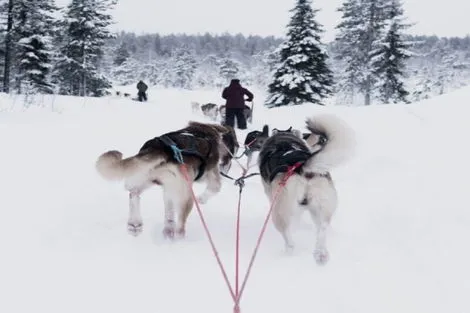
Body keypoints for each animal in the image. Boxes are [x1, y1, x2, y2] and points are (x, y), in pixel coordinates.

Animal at [96, 120, 235, 238]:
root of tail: (159, 149)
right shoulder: (210, 175)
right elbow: (215, 187)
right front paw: (202, 199)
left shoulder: (168, 189)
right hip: (186, 195)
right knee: (180, 226)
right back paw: (178, 238)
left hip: (145, 177)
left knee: (134, 194)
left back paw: (136, 224)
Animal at [258, 113, 354, 264]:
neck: (284, 140)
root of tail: (302, 166)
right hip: (322, 206)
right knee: (322, 228)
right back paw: (321, 253)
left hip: (279, 211)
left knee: (288, 236)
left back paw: (288, 252)